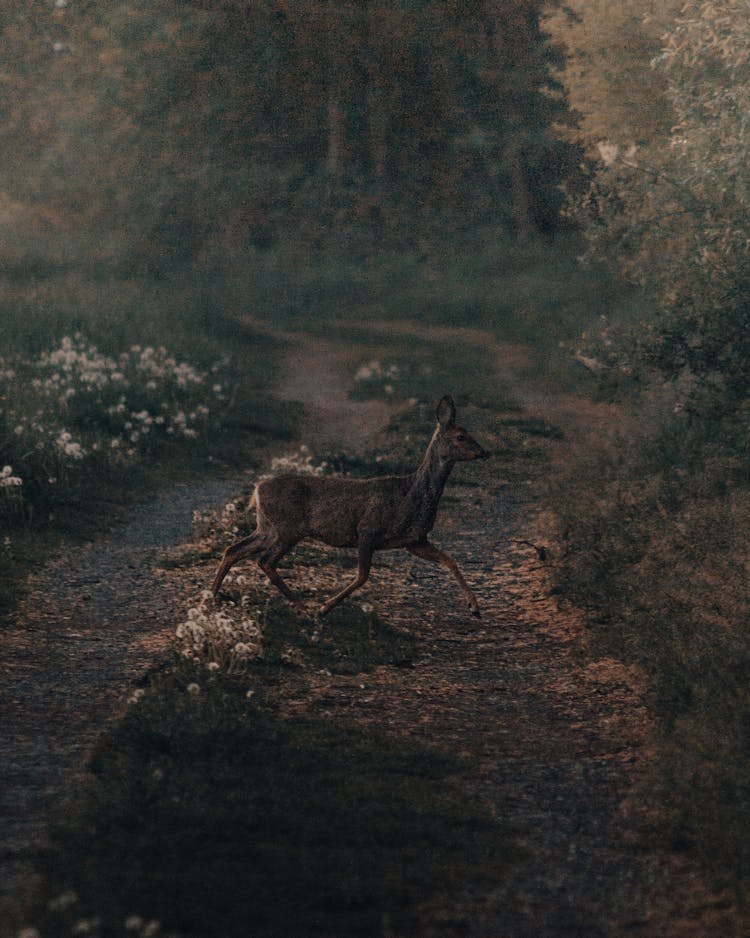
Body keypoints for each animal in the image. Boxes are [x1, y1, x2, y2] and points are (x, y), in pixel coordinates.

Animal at [213, 394, 494, 616]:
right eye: (461, 436)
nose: (485, 452)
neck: (411, 494)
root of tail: (257, 490)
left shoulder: (414, 540)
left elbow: (450, 560)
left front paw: (475, 607)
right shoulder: (368, 529)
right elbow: (362, 576)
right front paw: (324, 608)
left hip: (268, 527)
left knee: (234, 549)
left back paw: (213, 596)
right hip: (288, 527)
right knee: (265, 561)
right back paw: (304, 607)